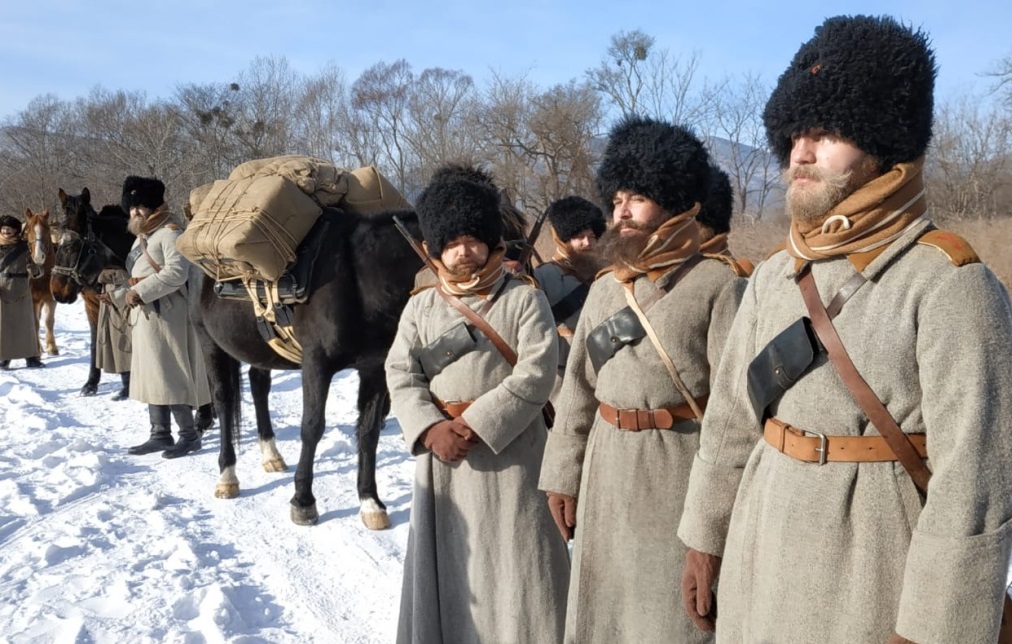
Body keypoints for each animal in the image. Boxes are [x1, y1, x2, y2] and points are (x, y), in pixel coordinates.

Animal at [50, 188, 134, 394]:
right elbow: (96, 342)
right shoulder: (93, 306)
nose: (57, 292)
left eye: (71, 247)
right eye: (57, 244)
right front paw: (91, 383)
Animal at [191, 207, 425, 526]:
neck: (361, 279)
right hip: (210, 343)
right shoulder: (316, 364)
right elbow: (312, 426)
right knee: (224, 400)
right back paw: (227, 476)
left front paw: (370, 502)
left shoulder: (375, 369)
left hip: (260, 350)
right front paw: (303, 501)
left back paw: (271, 455)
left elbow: (368, 432)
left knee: (259, 387)